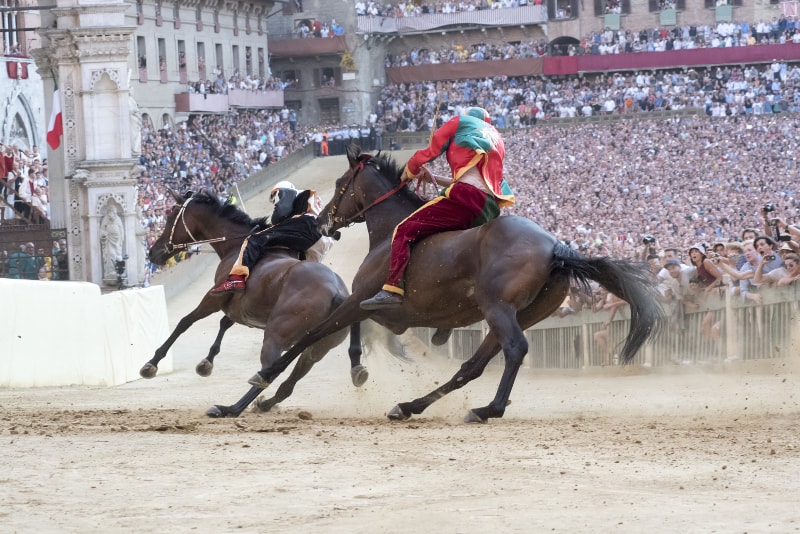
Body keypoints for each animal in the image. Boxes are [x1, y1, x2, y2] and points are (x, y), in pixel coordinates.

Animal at [144, 189, 368, 418]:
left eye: (170, 218)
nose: (153, 253)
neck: (235, 246)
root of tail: (339, 294)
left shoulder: (214, 298)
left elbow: (185, 322)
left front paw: (151, 364)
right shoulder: (238, 309)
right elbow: (223, 323)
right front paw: (206, 362)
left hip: (276, 336)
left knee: (268, 373)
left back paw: (229, 408)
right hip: (316, 348)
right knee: (287, 383)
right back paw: (264, 404)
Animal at [220, 149, 668, 426]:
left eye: (341, 182)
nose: (322, 220)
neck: (390, 232)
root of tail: (557, 247)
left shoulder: (361, 300)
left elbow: (306, 339)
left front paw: (246, 396)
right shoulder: (373, 309)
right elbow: (333, 336)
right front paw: (268, 397)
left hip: (498, 308)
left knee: (514, 350)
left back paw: (488, 409)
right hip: (518, 313)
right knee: (472, 366)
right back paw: (411, 406)